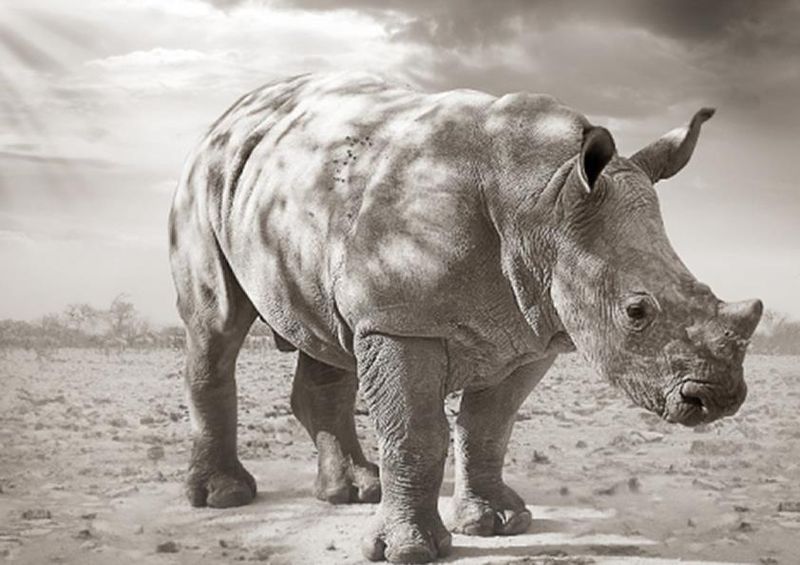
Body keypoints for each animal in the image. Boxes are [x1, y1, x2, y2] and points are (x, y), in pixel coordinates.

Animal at [169, 73, 762, 563]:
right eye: (636, 312)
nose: (718, 397)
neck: (544, 198)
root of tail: (231, 114)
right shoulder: (400, 319)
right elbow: (415, 432)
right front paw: (409, 552)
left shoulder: (531, 330)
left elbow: (489, 426)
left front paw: (499, 523)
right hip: (205, 180)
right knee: (216, 324)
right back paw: (224, 497)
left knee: (325, 335)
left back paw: (357, 491)